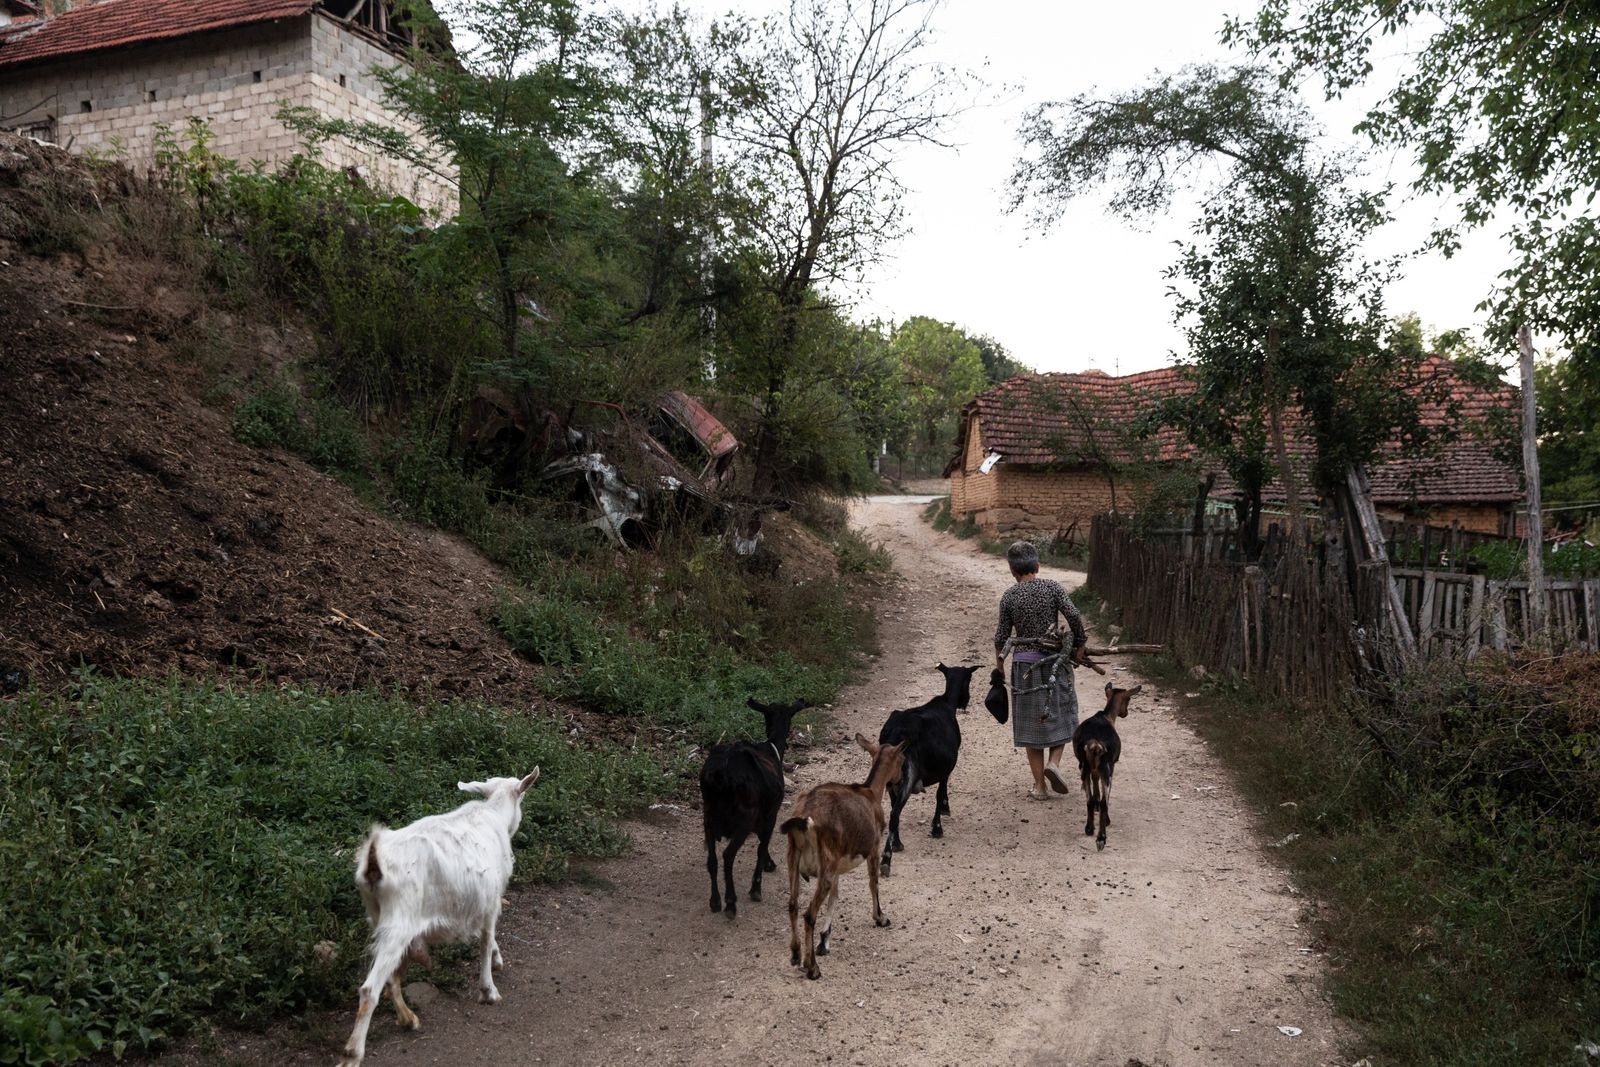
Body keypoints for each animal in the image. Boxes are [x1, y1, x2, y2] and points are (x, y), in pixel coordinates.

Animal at [336, 767, 537, 1067]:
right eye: (522, 796)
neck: (492, 815)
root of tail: (373, 864)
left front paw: (497, 961)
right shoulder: (491, 901)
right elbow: (486, 940)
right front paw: (489, 989)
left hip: (378, 916)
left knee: (390, 976)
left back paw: (408, 1019)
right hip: (399, 922)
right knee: (370, 989)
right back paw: (352, 1053)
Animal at [700, 700, 806, 921]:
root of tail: (720, 774)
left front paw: (769, 864)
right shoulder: (770, 815)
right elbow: (761, 846)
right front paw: (756, 887)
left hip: (708, 816)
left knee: (712, 860)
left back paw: (715, 901)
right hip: (743, 819)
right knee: (728, 856)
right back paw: (731, 903)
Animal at [780, 735, 908, 979]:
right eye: (903, 760)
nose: (901, 780)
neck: (871, 792)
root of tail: (804, 820)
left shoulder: (838, 863)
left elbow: (835, 897)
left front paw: (824, 940)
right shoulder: (873, 847)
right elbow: (873, 882)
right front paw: (881, 917)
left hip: (795, 857)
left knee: (793, 904)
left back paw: (795, 953)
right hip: (825, 863)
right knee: (809, 913)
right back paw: (812, 967)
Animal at [876, 662, 972, 883]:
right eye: (968, 680)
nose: (966, 701)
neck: (946, 703)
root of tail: (897, 733)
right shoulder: (946, 769)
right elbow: (940, 794)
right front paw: (937, 827)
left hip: (891, 775)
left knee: (893, 810)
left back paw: (896, 844)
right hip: (908, 774)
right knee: (895, 812)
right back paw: (886, 860)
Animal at [1075, 684, 1139, 851]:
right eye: (1128, 699)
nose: (1125, 713)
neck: (1107, 716)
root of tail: (1095, 744)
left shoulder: (1093, 768)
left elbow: (1094, 783)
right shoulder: (1112, 765)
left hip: (1084, 767)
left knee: (1089, 799)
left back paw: (1089, 828)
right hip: (1107, 768)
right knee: (1105, 802)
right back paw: (1101, 838)